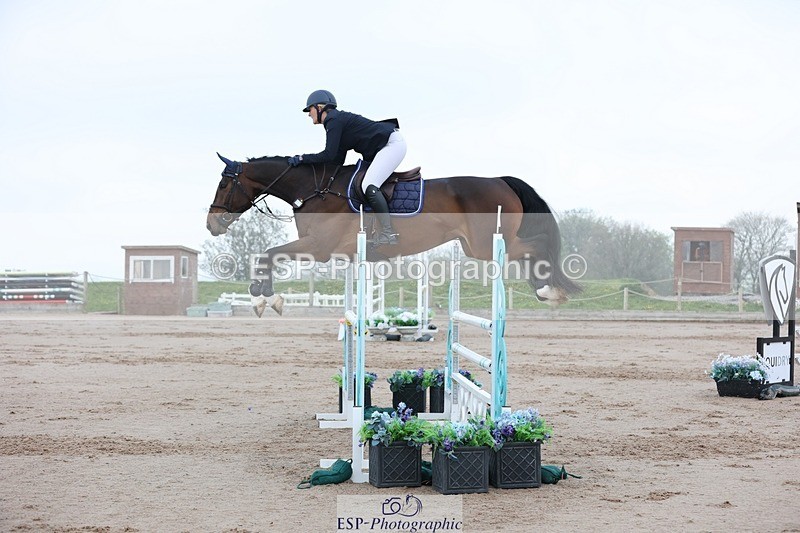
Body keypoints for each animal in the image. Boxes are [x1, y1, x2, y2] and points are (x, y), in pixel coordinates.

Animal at [206, 153, 580, 316]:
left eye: (224, 184)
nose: (212, 224)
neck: (316, 190)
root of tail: (501, 180)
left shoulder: (319, 247)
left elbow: (268, 253)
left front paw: (264, 296)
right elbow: (269, 254)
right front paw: (261, 294)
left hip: (484, 246)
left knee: (538, 245)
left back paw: (549, 290)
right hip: (479, 245)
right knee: (531, 250)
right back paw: (545, 290)